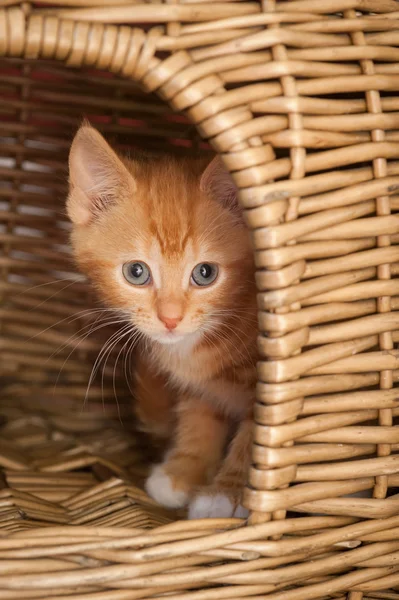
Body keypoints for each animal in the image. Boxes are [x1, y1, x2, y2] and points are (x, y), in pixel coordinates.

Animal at [67, 124, 258, 516]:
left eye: (205, 273)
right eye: (136, 272)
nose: (170, 318)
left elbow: (256, 436)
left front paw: (228, 493)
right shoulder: (199, 387)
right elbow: (200, 415)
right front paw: (183, 472)